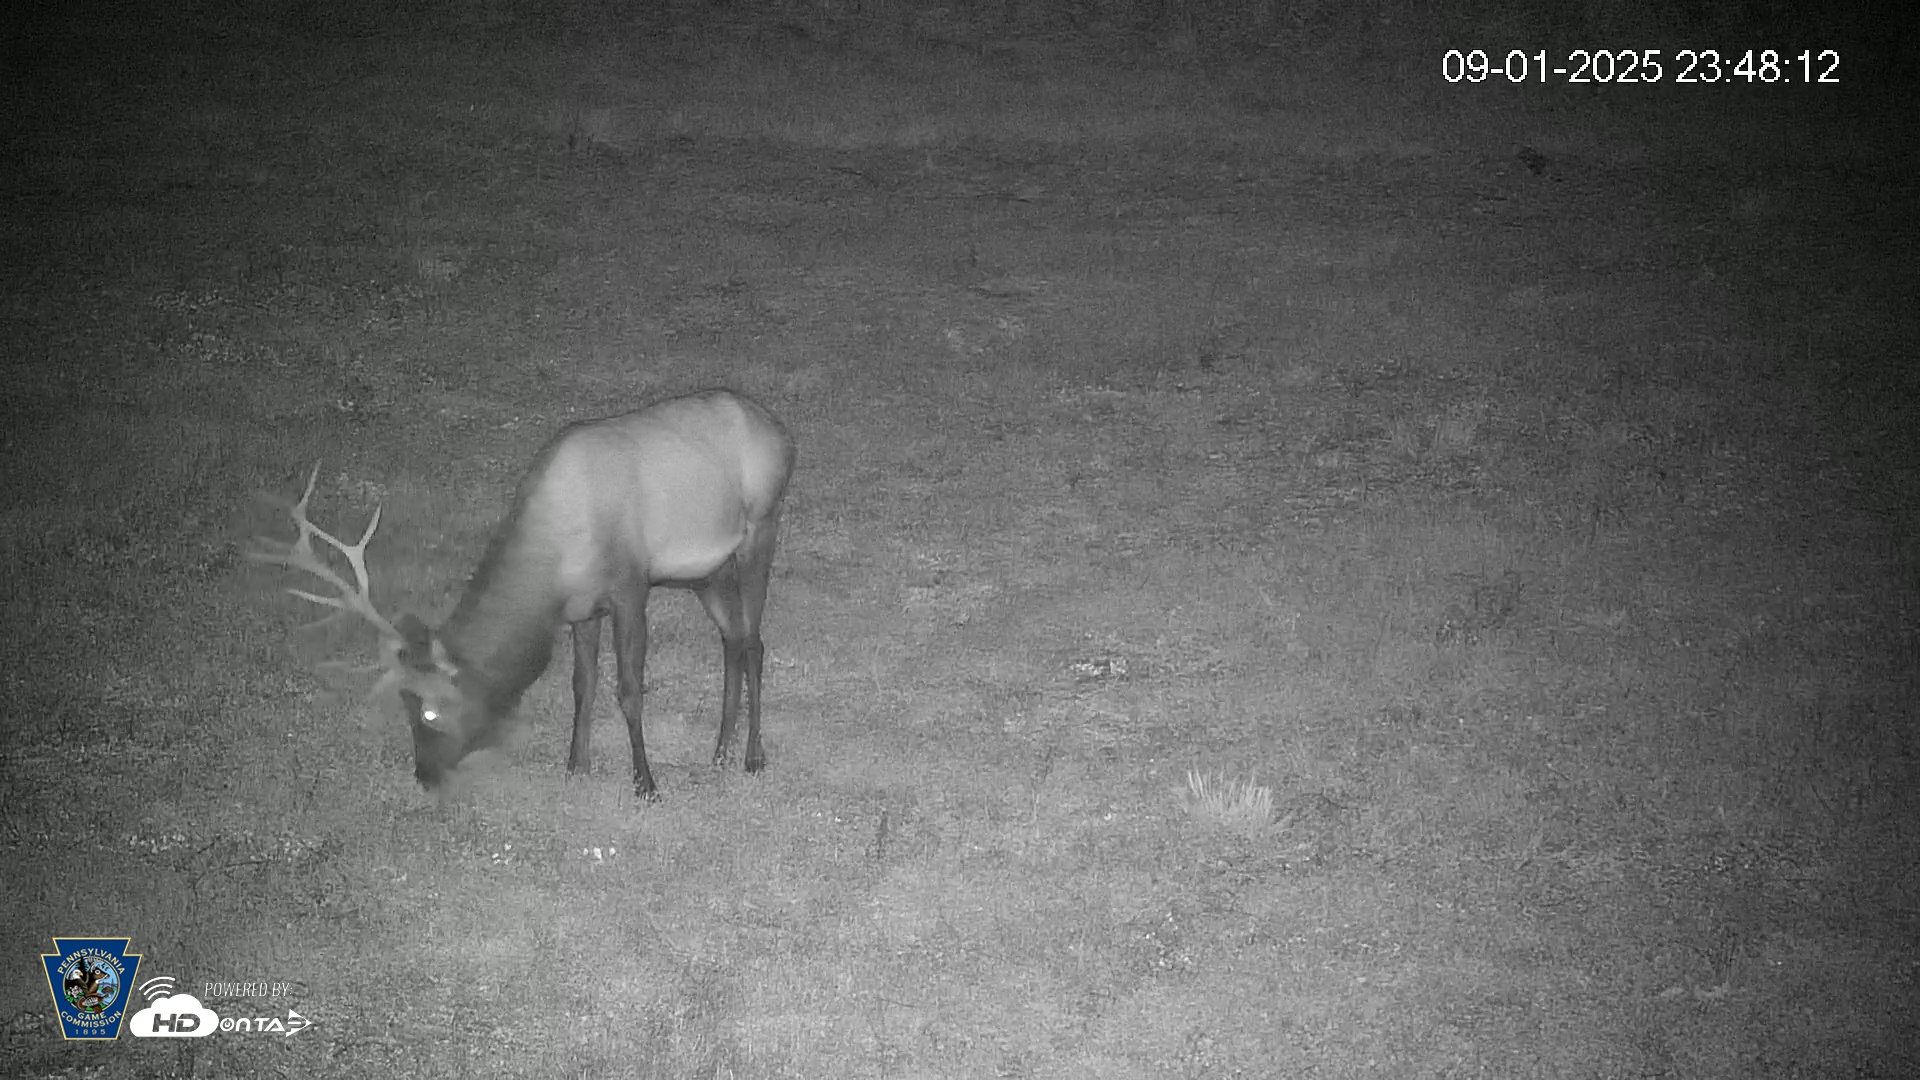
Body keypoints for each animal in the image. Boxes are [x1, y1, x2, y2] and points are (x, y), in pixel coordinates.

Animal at [249, 389, 795, 800]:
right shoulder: (582, 608)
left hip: (760, 528)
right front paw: (576, 764)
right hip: (707, 572)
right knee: (733, 639)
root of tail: (781, 432)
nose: (423, 775)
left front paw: (646, 783)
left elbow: (628, 690)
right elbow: (583, 683)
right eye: (403, 704)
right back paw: (719, 752)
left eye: (429, 710)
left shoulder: (629, 586)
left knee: (754, 643)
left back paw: (753, 756)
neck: (553, 566)